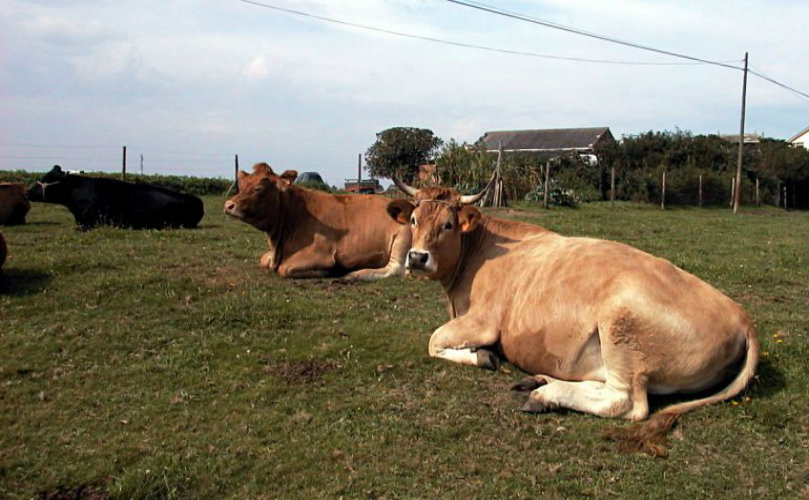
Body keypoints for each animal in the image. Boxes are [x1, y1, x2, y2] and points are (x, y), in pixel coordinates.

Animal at [224, 164, 410, 282]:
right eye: (242, 185)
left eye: (259, 188)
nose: (228, 205)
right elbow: (264, 259)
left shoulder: (320, 254)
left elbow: (284, 269)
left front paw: (328, 272)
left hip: (402, 239)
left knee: (395, 269)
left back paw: (354, 275)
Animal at [386, 185, 756, 458]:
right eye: (414, 219)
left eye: (447, 225)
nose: (416, 257)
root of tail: (740, 315)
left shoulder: (483, 320)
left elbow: (434, 341)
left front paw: (483, 355)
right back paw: (539, 381)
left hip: (619, 323)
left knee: (626, 401)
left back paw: (545, 395)